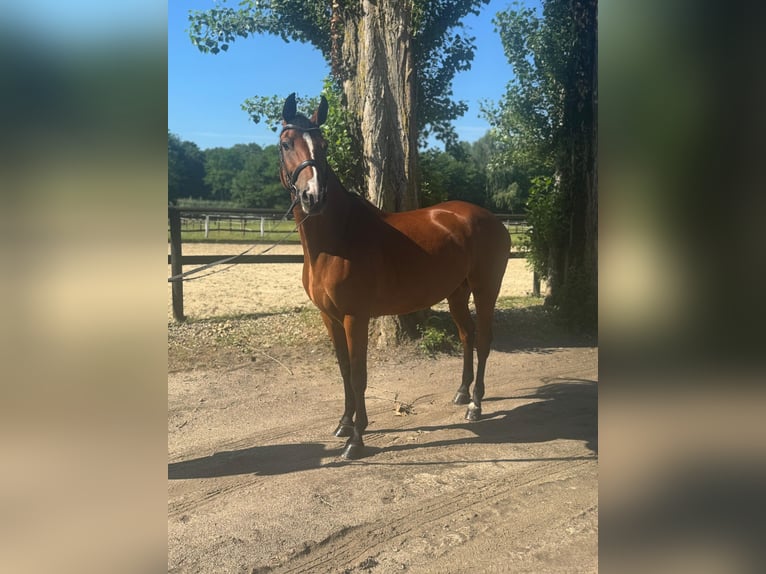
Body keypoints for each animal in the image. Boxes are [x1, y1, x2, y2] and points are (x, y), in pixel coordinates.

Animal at [278, 93, 510, 459]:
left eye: (324, 146)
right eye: (286, 144)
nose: (313, 197)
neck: (337, 239)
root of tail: (493, 220)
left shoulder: (355, 317)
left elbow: (358, 374)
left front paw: (356, 439)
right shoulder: (330, 317)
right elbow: (344, 369)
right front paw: (343, 423)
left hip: (486, 289)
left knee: (483, 340)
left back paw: (475, 405)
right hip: (456, 292)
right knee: (467, 335)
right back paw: (461, 392)